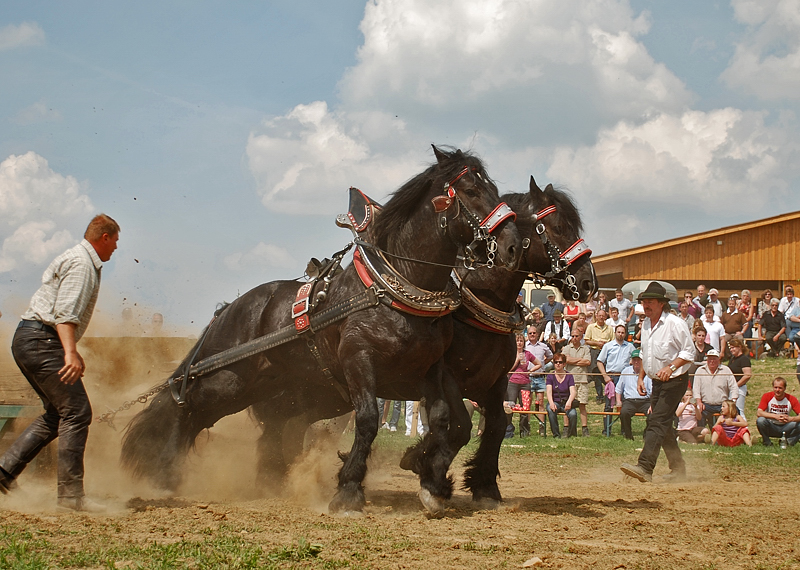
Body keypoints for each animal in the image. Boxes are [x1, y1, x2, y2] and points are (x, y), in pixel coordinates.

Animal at [119, 145, 520, 510]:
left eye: (495, 190)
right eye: (470, 190)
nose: (512, 247)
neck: (394, 289)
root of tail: (230, 307)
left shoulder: (431, 370)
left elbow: (441, 420)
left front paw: (433, 484)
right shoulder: (359, 360)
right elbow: (369, 420)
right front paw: (349, 490)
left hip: (278, 389)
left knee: (263, 428)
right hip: (230, 380)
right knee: (187, 402)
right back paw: (162, 468)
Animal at [398, 176, 592, 502]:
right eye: (559, 227)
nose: (590, 281)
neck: (481, 301)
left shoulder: (497, 378)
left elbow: (497, 425)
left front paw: (485, 484)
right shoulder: (446, 377)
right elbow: (460, 426)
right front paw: (428, 473)